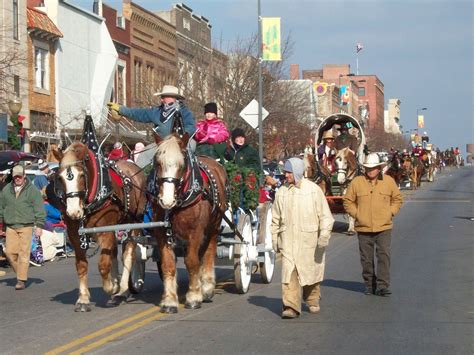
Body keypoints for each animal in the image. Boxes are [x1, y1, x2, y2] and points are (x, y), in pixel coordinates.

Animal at [53, 142, 146, 312]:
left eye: (82, 175)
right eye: (60, 178)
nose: (73, 212)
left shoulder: (105, 231)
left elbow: (103, 265)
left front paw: (113, 287)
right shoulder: (74, 234)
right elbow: (82, 265)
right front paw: (83, 299)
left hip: (134, 221)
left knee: (128, 254)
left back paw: (122, 290)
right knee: (115, 251)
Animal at [151, 134, 227, 314]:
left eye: (182, 165)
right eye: (157, 163)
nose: (166, 200)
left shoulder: (196, 231)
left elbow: (192, 262)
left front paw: (193, 296)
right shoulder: (162, 233)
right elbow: (168, 264)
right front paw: (169, 301)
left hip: (214, 226)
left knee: (209, 252)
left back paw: (207, 287)